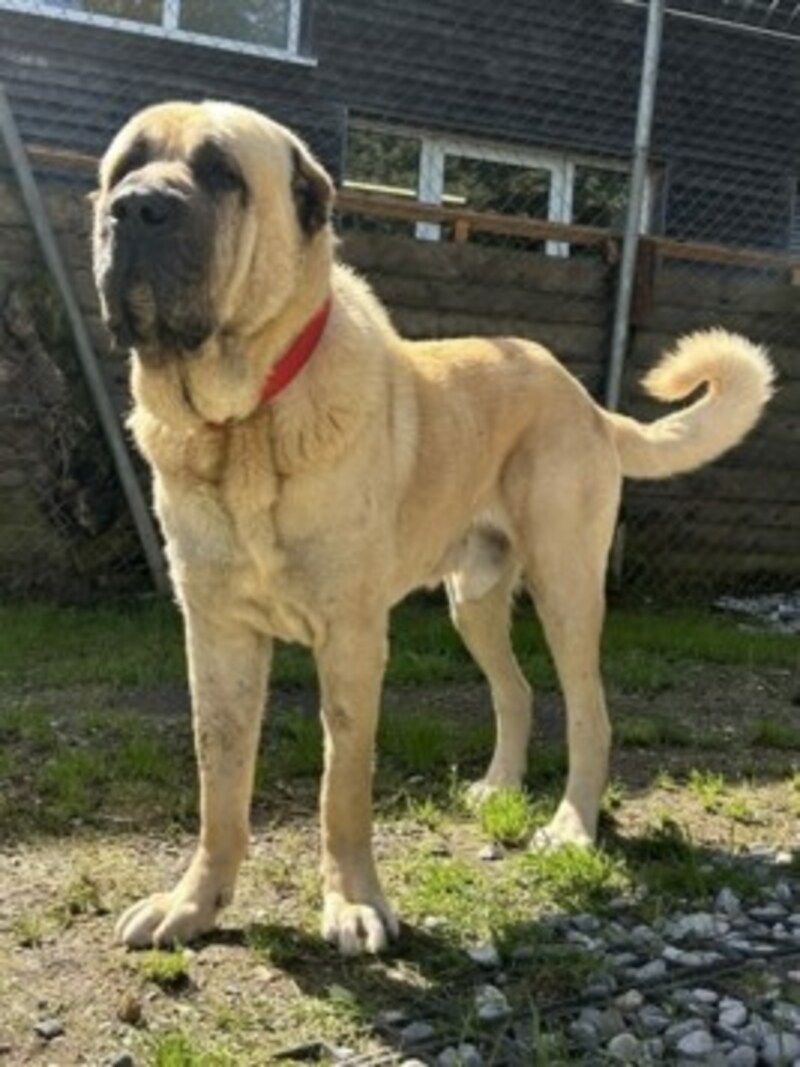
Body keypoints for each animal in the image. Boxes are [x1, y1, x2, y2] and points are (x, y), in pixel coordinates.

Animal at [93, 98, 776, 951]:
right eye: (124, 167)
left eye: (221, 172)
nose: (133, 209)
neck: (244, 422)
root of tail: (583, 399)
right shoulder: (217, 635)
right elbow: (220, 783)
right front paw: (194, 902)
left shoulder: (352, 639)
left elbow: (342, 786)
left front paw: (354, 902)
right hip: (472, 601)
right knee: (517, 690)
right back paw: (499, 786)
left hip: (565, 589)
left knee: (589, 712)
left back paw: (571, 825)